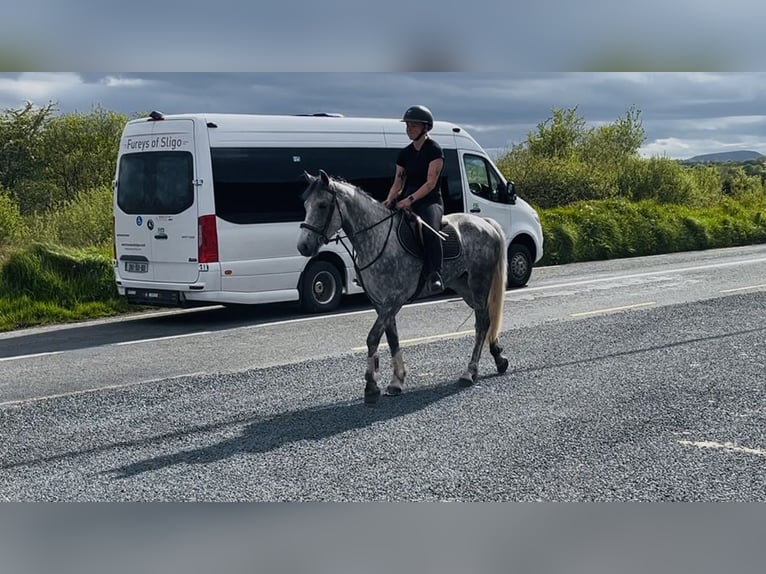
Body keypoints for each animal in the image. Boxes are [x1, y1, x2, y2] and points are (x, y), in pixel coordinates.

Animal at [297, 169, 509, 404]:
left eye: (322, 205)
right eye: (306, 204)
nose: (303, 246)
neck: (377, 239)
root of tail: (485, 222)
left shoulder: (394, 300)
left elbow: (373, 338)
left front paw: (371, 386)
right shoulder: (381, 303)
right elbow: (392, 338)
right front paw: (396, 381)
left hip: (479, 282)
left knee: (481, 323)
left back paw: (470, 371)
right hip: (463, 286)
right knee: (487, 318)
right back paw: (499, 358)